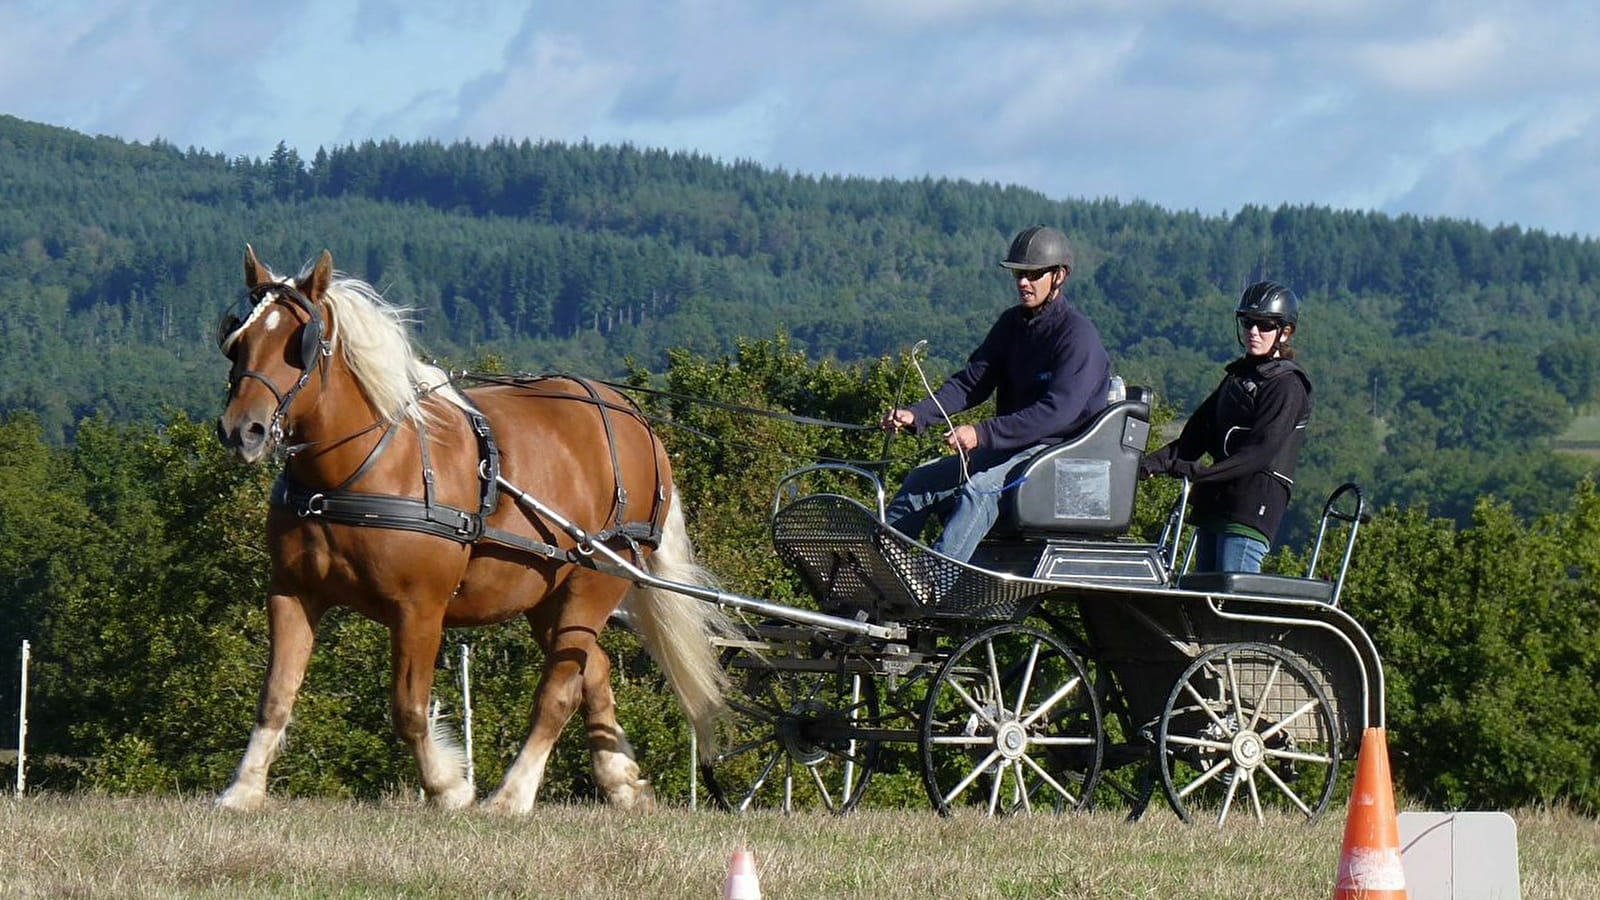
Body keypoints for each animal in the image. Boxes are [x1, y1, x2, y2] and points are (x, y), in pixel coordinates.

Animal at [212, 245, 726, 813]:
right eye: (237, 341)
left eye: (300, 345)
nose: (242, 431)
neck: (359, 468)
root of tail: (638, 424)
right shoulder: (292, 591)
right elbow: (275, 696)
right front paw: (243, 789)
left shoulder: (419, 609)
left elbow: (409, 707)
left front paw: (447, 786)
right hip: (551, 595)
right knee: (592, 672)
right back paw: (621, 782)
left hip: (595, 581)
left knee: (560, 691)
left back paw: (512, 795)